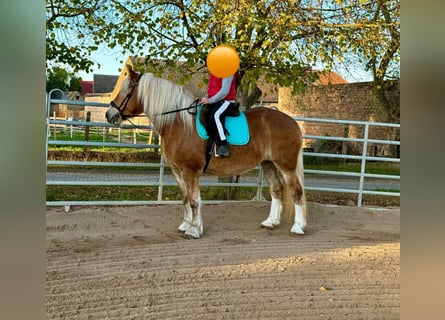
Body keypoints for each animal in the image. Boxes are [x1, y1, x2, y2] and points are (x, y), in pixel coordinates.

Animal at [105, 65, 306, 240]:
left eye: (127, 91)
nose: (109, 114)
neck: (178, 123)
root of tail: (291, 121)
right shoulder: (178, 171)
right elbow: (186, 198)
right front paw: (187, 224)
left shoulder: (190, 171)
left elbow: (194, 200)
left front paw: (194, 230)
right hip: (268, 163)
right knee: (276, 189)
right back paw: (271, 222)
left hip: (286, 165)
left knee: (296, 191)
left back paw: (298, 226)